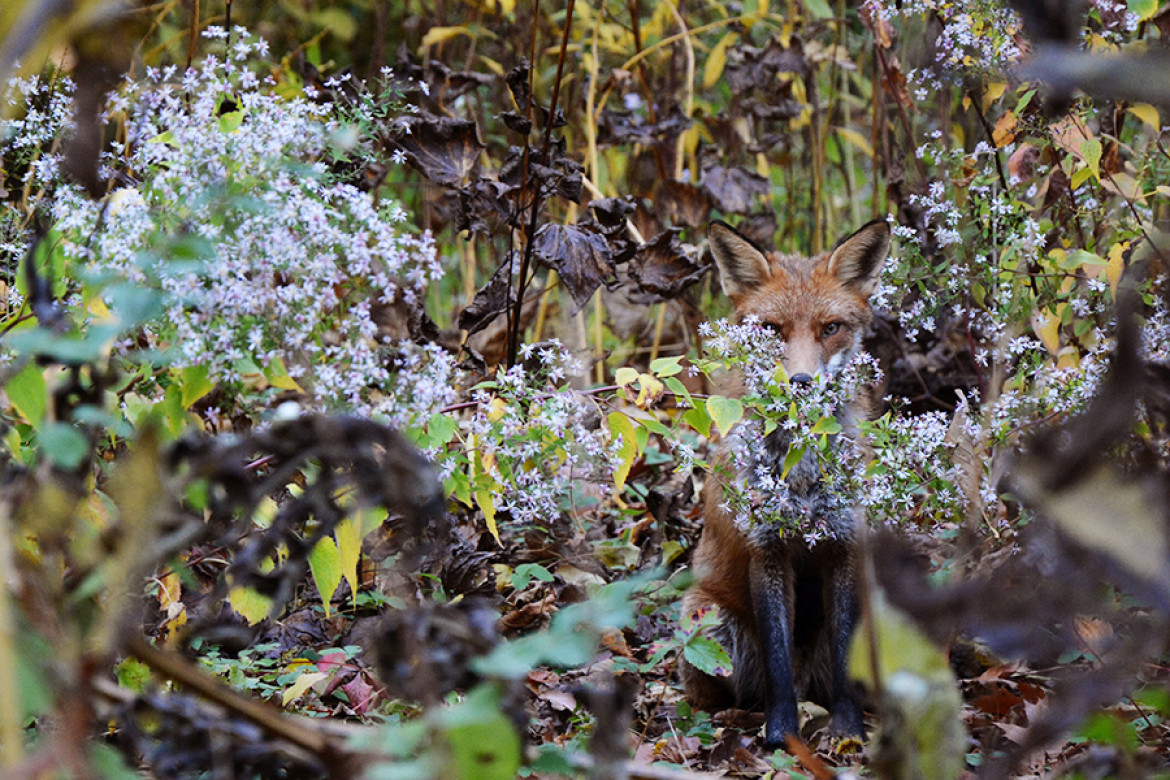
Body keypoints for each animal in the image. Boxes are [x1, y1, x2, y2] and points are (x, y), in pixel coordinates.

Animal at [683, 216, 889, 748]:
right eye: (772, 329)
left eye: (831, 328)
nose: (799, 383)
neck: (801, 473)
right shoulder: (766, 549)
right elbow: (777, 662)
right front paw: (781, 735)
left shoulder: (843, 544)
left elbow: (843, 657)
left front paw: (847, 729)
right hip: (707, 623)